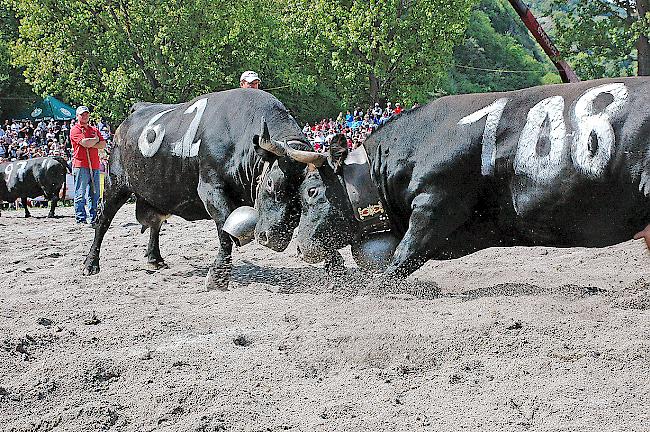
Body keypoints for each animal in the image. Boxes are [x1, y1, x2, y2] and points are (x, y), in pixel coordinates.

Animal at [83, 88, 312, 290]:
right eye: (271, 183)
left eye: (306, 193)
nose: (275, 238)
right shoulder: (210, 189)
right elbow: (225, 232)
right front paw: (218, 278)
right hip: (115, 183)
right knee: (102, 222)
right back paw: (90, 264)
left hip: (157, 192)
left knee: (155, 223)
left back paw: (155, 258)